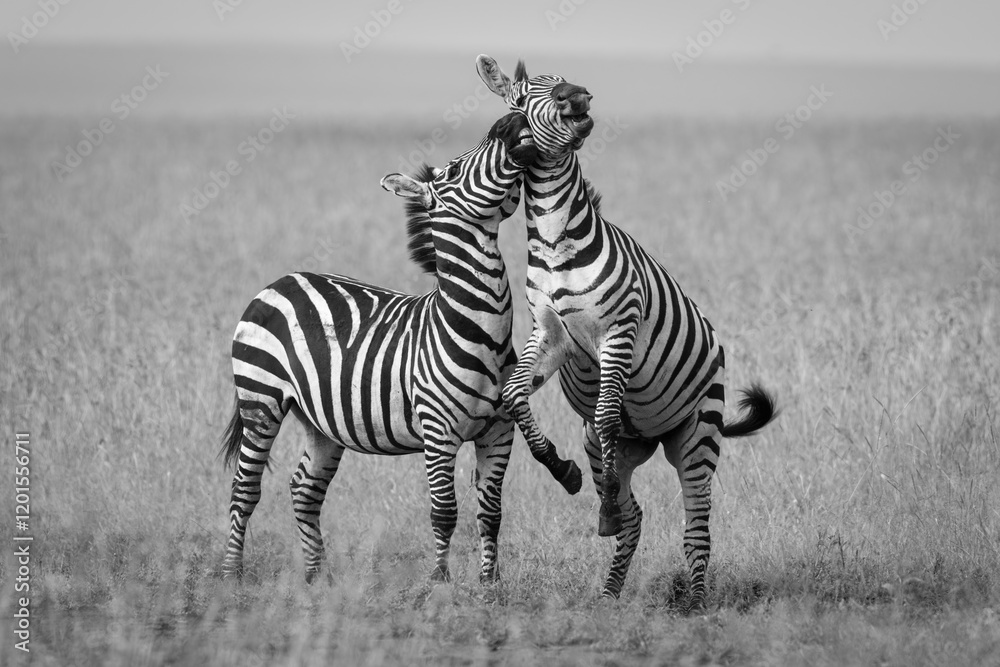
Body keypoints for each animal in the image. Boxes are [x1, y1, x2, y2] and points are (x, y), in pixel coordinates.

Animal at [218, 111, 550, 585]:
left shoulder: (499, 431)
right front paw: (439, 584)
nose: (510, 118)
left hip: (319, 421)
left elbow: (491, 514)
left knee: (304, 489)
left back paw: (318, 578)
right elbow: (444, 513)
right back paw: (232, 574)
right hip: (260, 398)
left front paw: (490, 586)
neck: (480, 328)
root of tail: (282, 280)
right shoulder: (438, 431)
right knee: (245, 489)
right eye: (454, 169)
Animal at [475, 56, 779, 606]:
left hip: (698, 435)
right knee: (634, 513)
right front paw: (559, 468)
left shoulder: (619, 330)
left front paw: (601, 507)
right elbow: (514, 394)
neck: (555, 239)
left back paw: (695, 601)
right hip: (610, 445)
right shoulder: (550, 337)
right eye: (521, 98)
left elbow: (607, 412)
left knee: (696, 524)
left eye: (562, 81)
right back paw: (609, 590)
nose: (579, 96)